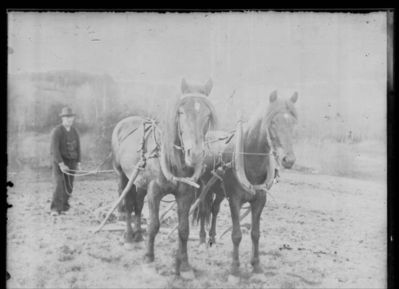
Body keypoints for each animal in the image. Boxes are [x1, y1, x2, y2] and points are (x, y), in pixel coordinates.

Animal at [111, 79, 219, 276]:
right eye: (181, 112)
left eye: (207, 115)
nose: (195, 154)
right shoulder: (154, 190)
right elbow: (154, 225)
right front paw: (148, 259)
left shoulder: (185, 194)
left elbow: (183, 229)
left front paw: (185, 266)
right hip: (123, 176)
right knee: (128, 205)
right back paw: (129, 238)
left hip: (140, 183)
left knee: (138, 206)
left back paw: (139, 236)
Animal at [195, 90, 298, 280]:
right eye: (272, 122)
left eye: (293, 123)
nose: (288, 160)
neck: (251, 159)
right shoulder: (234, 200)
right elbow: (236, 234)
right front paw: (235, 268)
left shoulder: (259, 200)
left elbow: (255, 234)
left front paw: (256, 265)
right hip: (205, 187)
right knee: (204, 210)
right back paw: (202, 240)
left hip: (220, 192)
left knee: (214, 210)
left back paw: (212, 238)